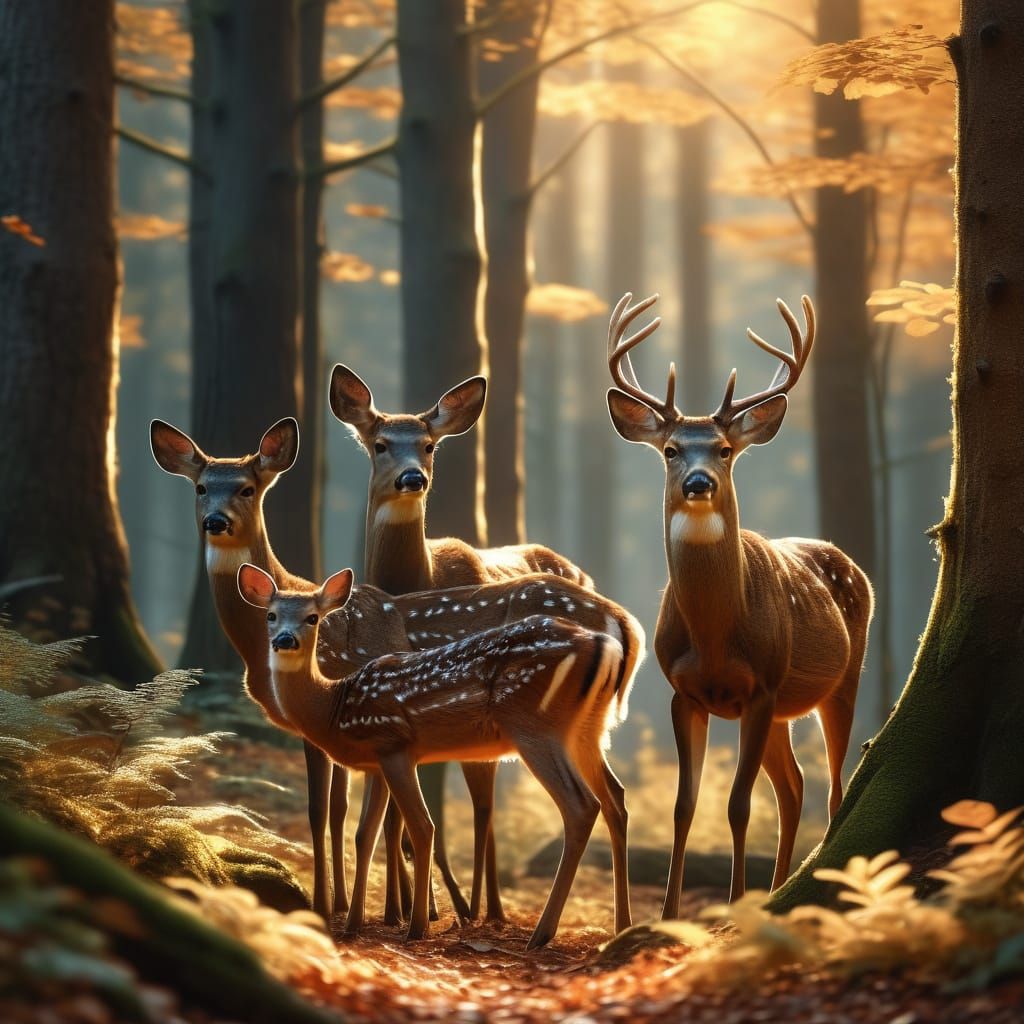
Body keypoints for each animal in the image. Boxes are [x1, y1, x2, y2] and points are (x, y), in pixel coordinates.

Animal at [237, 562, 641, 949]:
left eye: (312, 618)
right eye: (271, 615)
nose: (284, 640)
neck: (334, 707)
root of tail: (610, 644)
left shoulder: (395, 746)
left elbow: (421, 826)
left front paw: (416, 927)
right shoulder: (376, 762)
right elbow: (365, 835)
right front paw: (353, 925)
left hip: (535, 727)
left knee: (580, 805)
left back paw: (541, 934)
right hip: (588, 730)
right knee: (615, 797)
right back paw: (622, 925)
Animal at [329, 364, 594, 923]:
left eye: (428, 445)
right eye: (380, 444)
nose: (413, 477)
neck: (419, 579)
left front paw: (429, 908)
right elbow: (400, 814)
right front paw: (403, 909)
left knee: (486, 803)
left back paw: (485, 908)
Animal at [603, 292, 873, 915]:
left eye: (724, 450)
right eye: (671, 449)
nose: (699, 482)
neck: (714, 638)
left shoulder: (762, 686)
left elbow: (737, 804)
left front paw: (730, 903)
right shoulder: (683, 692)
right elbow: (684, 805)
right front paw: (670, 912)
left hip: (841, 680)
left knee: (832, 787)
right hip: (781, 713)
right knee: (794, 786)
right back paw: (776, 889)